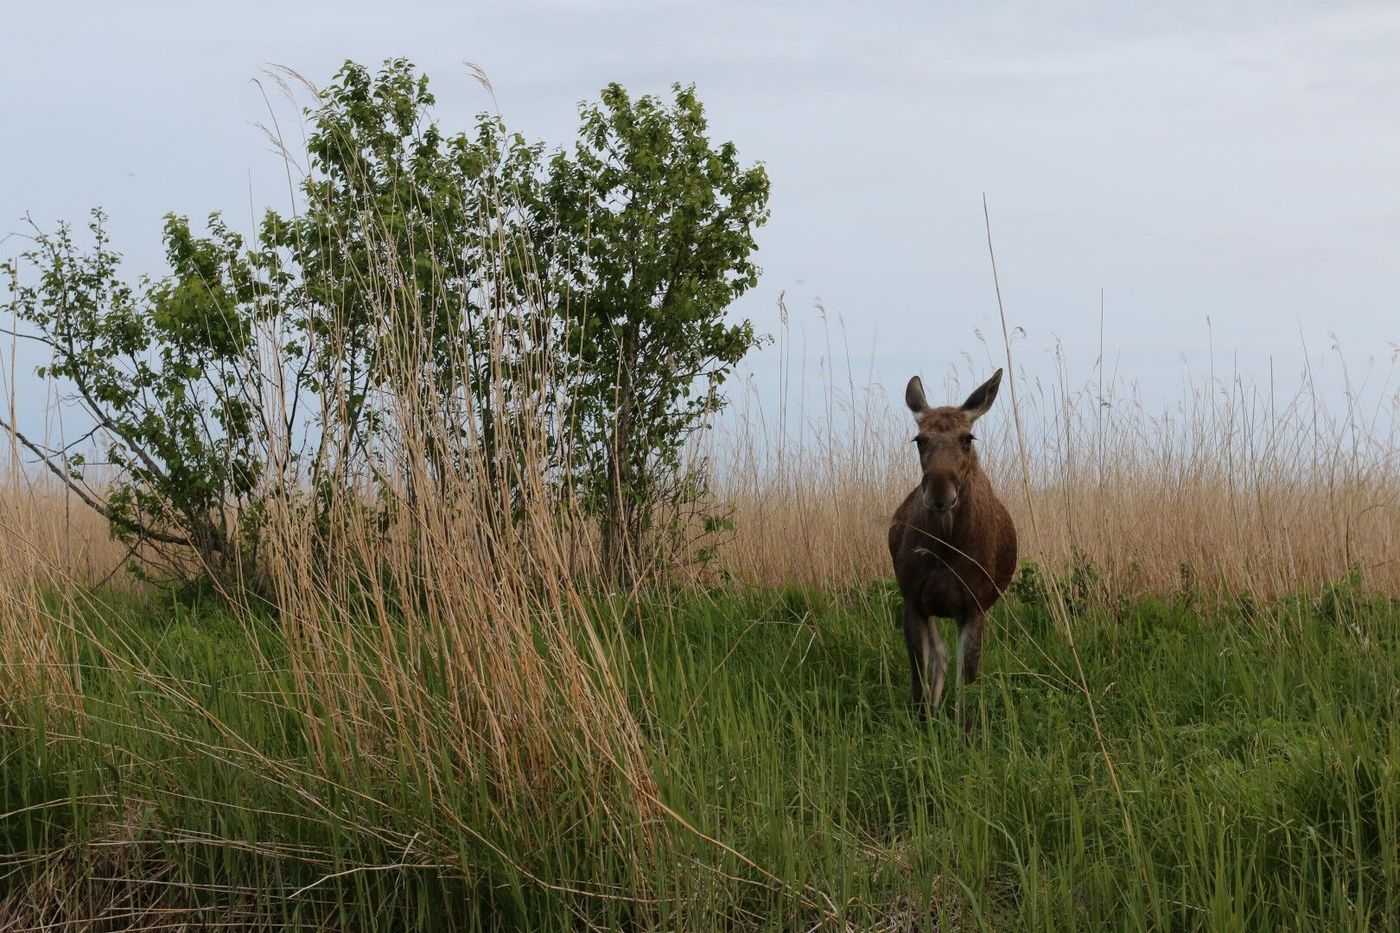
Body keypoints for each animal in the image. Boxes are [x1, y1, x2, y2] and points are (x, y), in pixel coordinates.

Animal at [884, 369, 1019, 728]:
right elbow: (919, 680)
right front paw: (925, 725)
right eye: (920, 440)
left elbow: (967, 690)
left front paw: (963, 733)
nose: (939, 491)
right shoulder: (913, 599)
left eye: (967, 438)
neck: (945, 549)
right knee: (940, 655)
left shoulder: (974, 606)